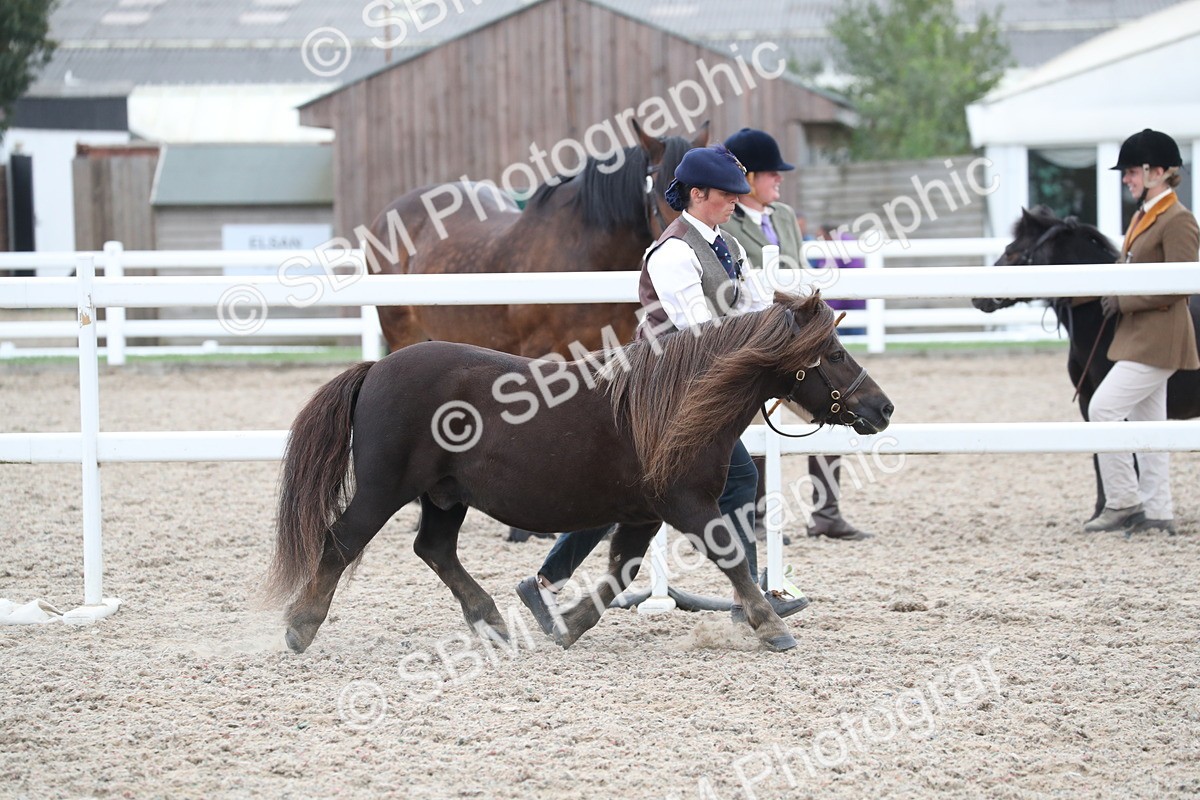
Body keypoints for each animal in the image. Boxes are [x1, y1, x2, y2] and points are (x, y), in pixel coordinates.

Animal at [266, 291, 894, 654]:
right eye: (835, 353)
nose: (883, 408)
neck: (674, 404)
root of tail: (376, 369)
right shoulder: (687, 505)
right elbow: (733, 557)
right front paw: (770, 625)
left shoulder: (643, 514)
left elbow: (620, 572)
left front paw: (567, 625)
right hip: (383, 490)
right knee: (340, 542)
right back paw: (300, 627)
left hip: (446, 496)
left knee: (435, 550)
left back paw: (492, 622)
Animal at [972, 206, 1200, 516]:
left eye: (1011, 252)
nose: (977, 298)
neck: (1104, 323)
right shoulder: (1088, 400)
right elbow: (1098, 454)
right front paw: (1101, 510)